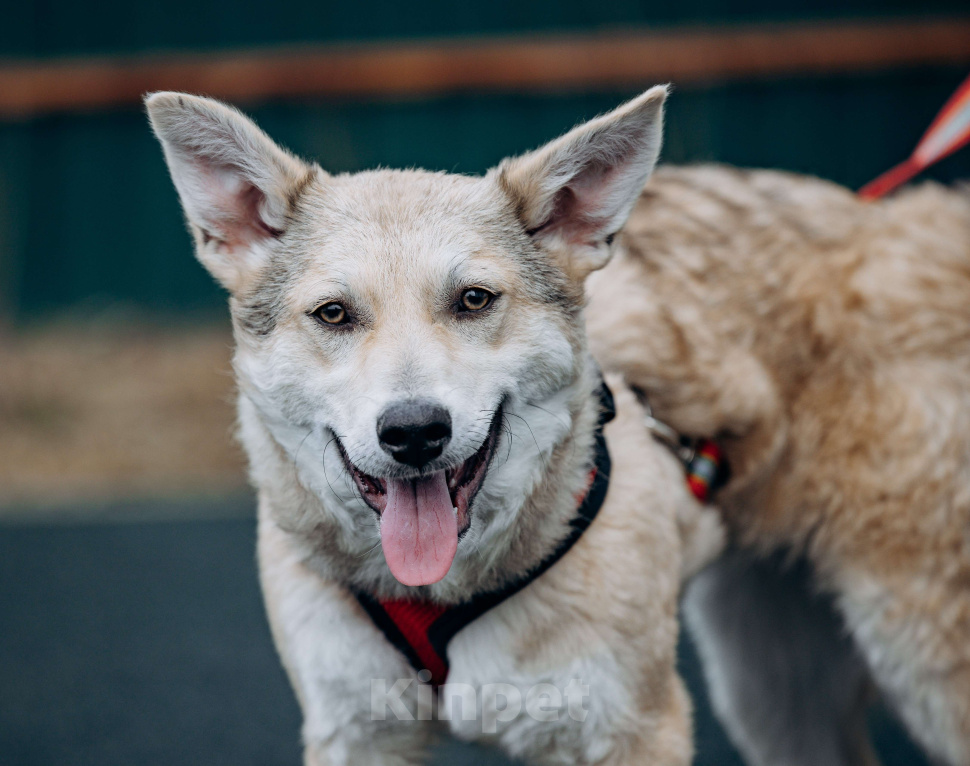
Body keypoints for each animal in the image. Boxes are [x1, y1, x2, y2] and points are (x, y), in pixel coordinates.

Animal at [146, 85, 728, 766]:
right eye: (334, 313)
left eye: (473, 300)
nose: (415, 432)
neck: (433, 587)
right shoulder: (353, 730)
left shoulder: (633, 729)